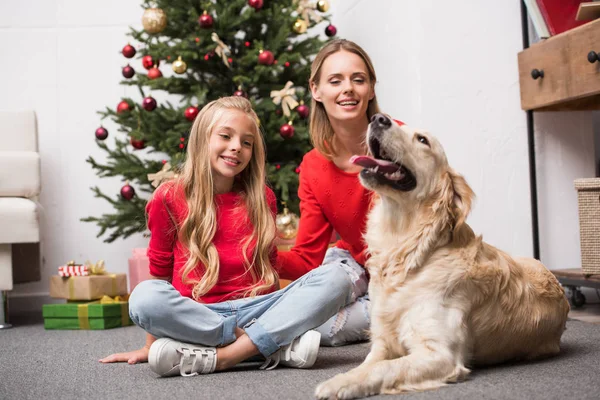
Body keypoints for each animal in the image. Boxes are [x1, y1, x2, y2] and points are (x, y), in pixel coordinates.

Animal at [316, 114, 568, 398]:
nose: (378, 118)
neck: (409, 251)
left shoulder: (439, 354)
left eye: (422, 140)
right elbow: (368, 364)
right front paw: (347, 377)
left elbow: (384, 368)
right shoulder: (382, 342)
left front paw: (337, 385)